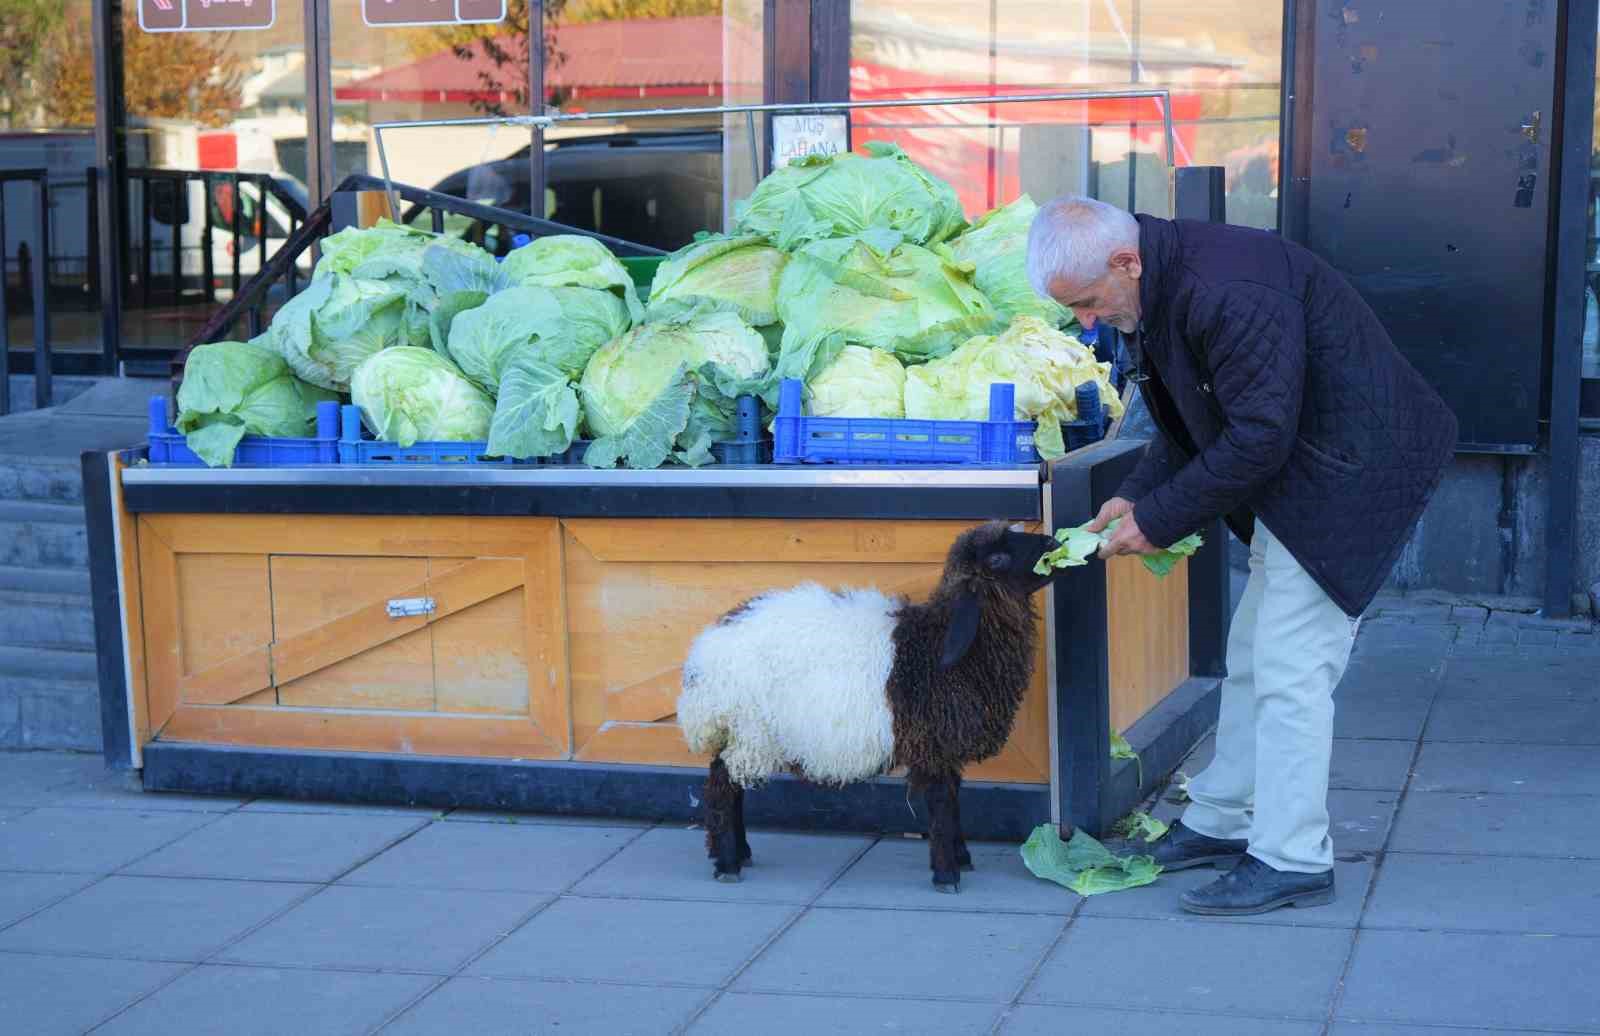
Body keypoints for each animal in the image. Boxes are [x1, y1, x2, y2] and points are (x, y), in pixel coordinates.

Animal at [672, 521, 1062, 895]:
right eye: (997, 559)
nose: (1054, 544)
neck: (939, 648)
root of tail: (702, 657)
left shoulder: (943, 746)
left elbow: (953, 800)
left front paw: (961, 857)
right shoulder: (932, 745)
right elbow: (941, 805)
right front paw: (946, 873)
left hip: (743, 734)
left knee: (728, 783)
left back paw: (739, 853)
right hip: (750, 731)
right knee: (723, 789)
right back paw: (728, 863)